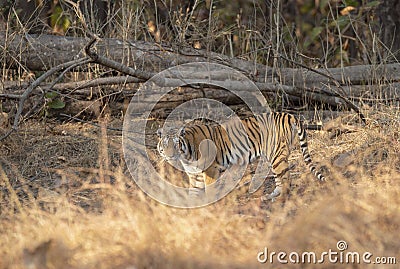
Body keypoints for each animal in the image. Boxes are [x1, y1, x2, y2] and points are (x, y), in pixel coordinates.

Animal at [156, 110, 324, 200]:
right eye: (165, 145)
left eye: (176, 145)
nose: (170, 156)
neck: (186, 156)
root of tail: (289, 115)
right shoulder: (195, 176)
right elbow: (193, 194)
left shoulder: (210, 171)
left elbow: (210, 191)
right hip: (273, 158)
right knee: (280, 179)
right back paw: (270, 196)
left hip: (277, 156)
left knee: (287, 180)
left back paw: (280, 200)